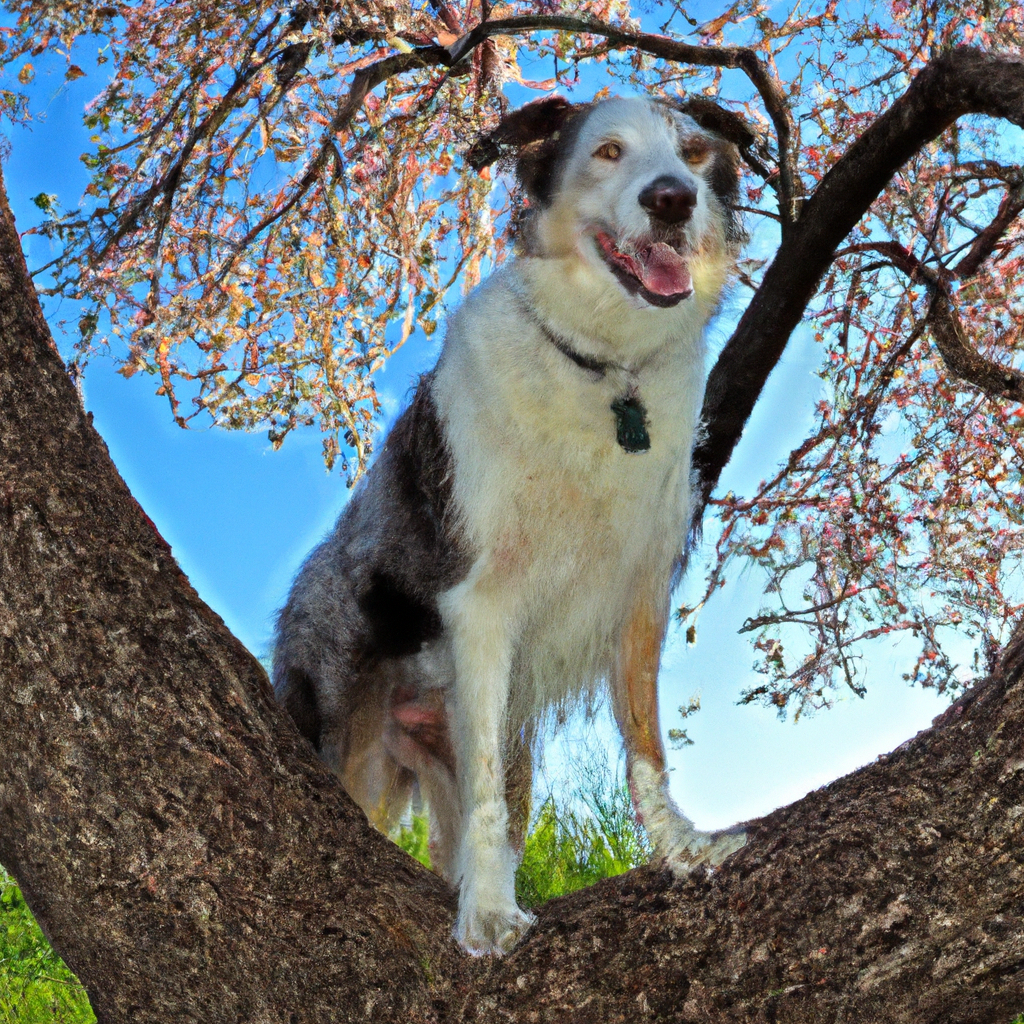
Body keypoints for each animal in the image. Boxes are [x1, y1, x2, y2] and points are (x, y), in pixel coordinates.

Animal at [276, 92, 749, 954]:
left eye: (695, 153)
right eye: (607, 151)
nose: (672, 199)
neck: (601, 365)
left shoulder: (638, 593)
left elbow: (646, 748)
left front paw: (682, 847)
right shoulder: (483, 603)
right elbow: (491, 803)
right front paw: (490, 915)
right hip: (356, 756)